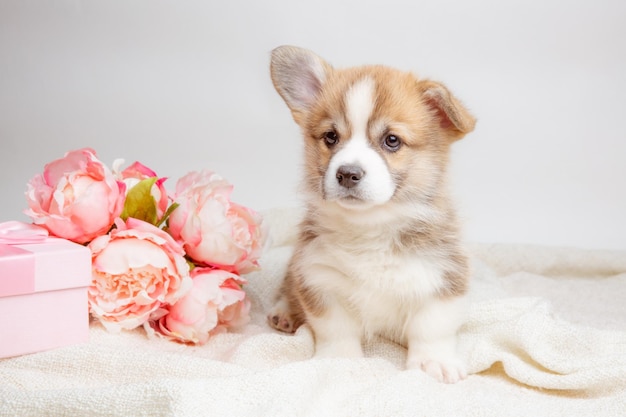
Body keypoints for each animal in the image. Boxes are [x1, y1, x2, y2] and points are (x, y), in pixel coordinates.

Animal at [266, 46, 476, 384]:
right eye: (331, 137)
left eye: (392, 140)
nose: (347, 174)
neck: (370, 226)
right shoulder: (319, 276)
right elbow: (335, 329)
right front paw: (338, 360)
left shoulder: (443, 276)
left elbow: (432, 327)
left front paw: (433, 362)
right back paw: (284, 312)